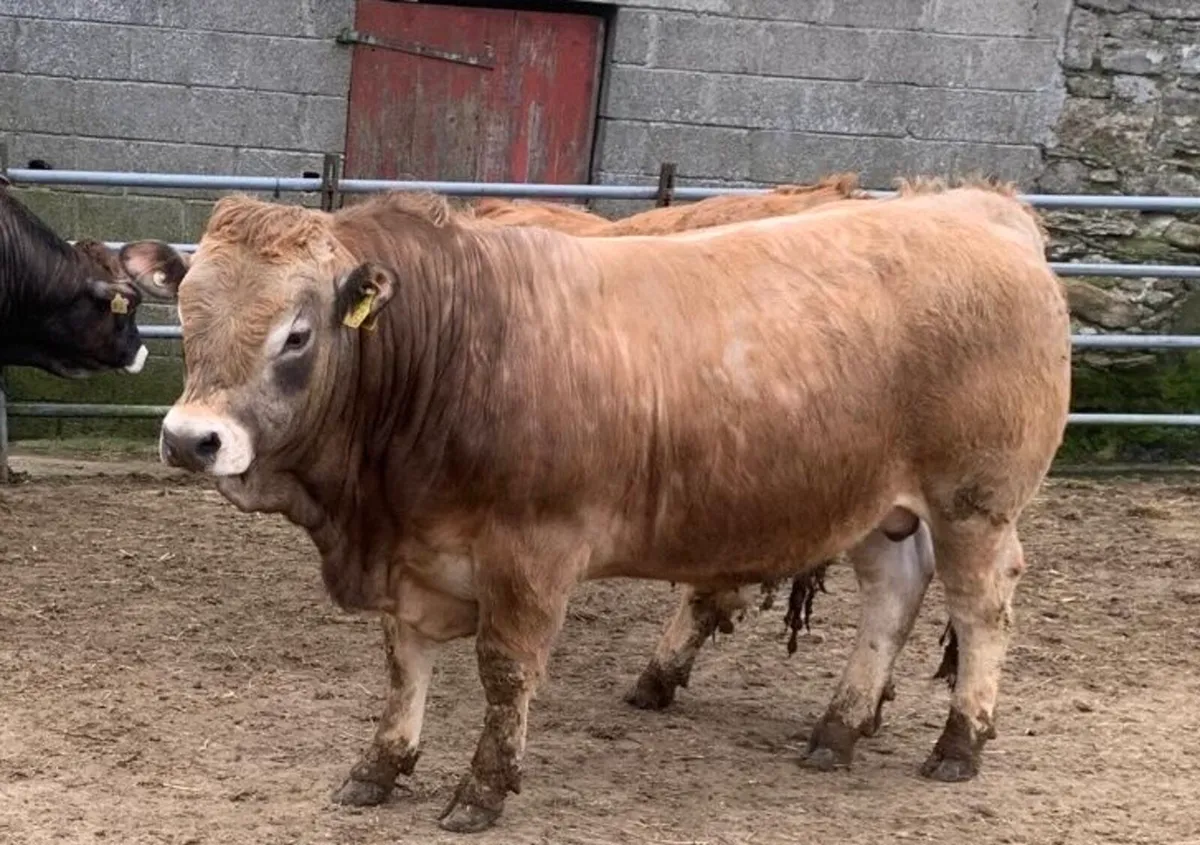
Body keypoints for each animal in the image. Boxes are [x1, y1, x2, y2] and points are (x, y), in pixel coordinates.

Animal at [121, 178, 1070, 833]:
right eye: (187, 314)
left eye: (297, 332)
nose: (191, 438)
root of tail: (978, 205)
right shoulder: (416, 553)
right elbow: (404, 663)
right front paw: (381, 766)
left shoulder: (531, 554)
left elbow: (505, 672)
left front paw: (481, 789)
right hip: (877, 505)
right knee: (892, 596)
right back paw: (836, 729)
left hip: (974, 502)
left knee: (982, 609)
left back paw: (958, 743)